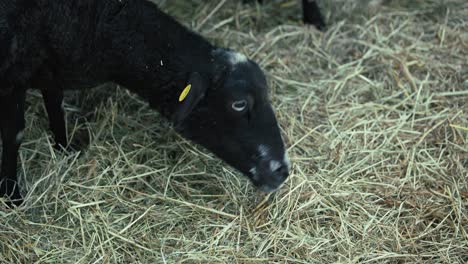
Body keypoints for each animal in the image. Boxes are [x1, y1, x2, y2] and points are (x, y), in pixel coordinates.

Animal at [0, 0, 290, 206]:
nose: (282, 171)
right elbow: (15, 134)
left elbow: (55, 105)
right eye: (238, 104)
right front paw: (12, 196)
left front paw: (65, 147)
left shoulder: (53, 67)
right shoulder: (14, 75)